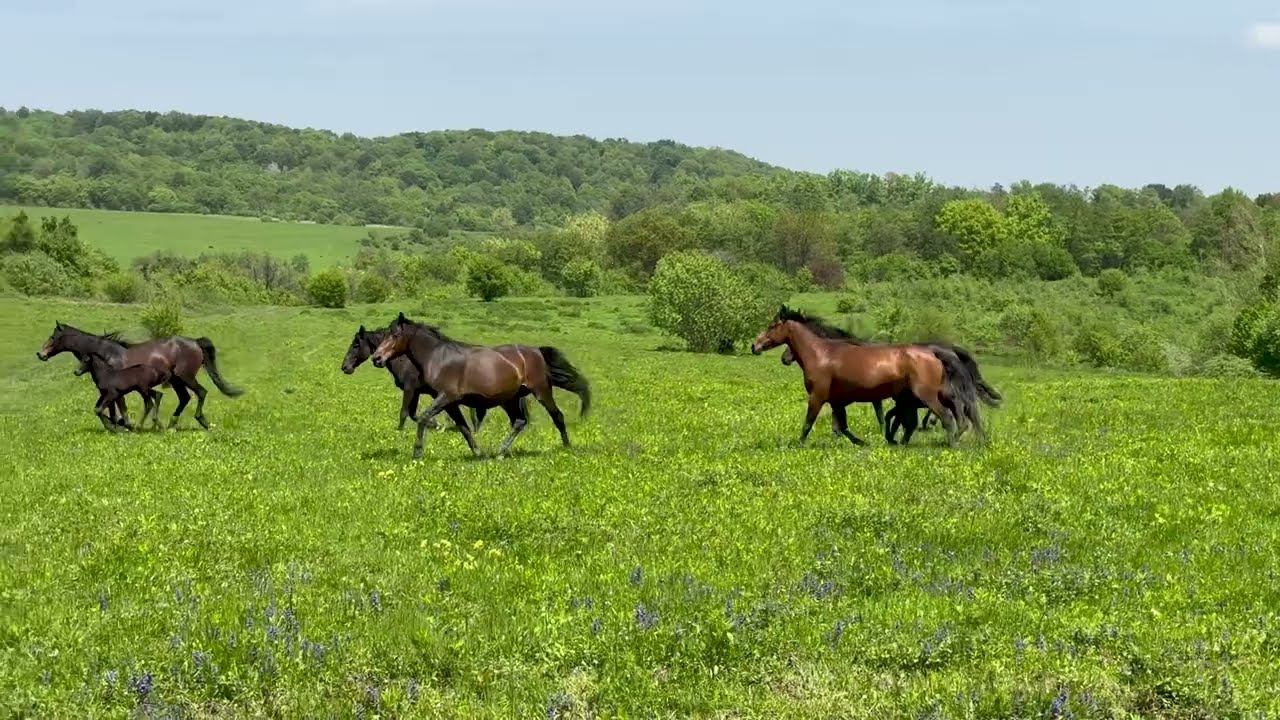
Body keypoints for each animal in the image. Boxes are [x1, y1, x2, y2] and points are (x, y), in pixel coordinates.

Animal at [37, 322, 242, 429]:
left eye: (53, 337)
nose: (41, 354)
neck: (106, 354)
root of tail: (195, 342)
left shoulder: (117, 390)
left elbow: (119, 409)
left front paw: (124, 425)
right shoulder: (110, 392)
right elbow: (109, 410)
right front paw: (117, 426)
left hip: (185, 377)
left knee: (201, 393)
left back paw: (202, 421)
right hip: (176, 380)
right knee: (185, 398)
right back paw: (170, 425)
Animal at [342, 323, 522, 432]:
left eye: (356, 345)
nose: (344, 367)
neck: (404, 360)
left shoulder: (410, 389)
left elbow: (404, 412)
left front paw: (401, 431)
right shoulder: (416, 392)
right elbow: (413, 414)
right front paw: (435, 424)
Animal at [369, 313, 591, 459]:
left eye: (395, 335)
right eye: (384, 335)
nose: (377, 358)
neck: (438, 358)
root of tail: (536, 351)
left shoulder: (446, 396)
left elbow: (423, 417)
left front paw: (417, 453)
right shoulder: (450, 402)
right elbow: (464, 428)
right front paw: (478, 452)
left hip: (541, 391)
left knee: (557, 416)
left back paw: (566, 447)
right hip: (510, 399)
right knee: (519, 422)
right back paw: (500, 453)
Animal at [752, 306, 983, 447]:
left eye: (771, 326)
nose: (754, 346)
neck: (821, 354)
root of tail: (933, 353)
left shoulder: (817, 397)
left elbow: (808, 423)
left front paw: (797, 445)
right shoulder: (837, 402)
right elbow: (841, 427)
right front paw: (862, 442)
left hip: (926, 396)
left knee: (948, 417)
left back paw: (952, 443)